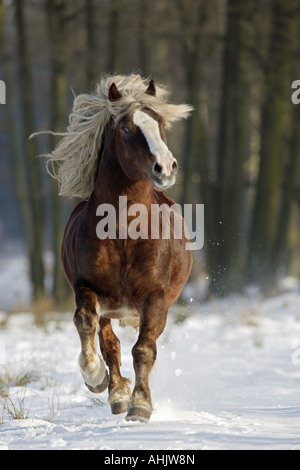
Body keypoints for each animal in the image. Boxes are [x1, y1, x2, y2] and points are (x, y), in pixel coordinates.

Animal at [42, 74, 192, 422]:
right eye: (125, 128)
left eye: (159, 122)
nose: (166, 166)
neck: (124, 232)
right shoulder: (87, 288)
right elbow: (87, 324)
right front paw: (97, 379)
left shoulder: (155, 297)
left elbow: (144, 349)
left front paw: (141, 405)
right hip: (111, 309)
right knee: (109, 343)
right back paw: (116, 393)